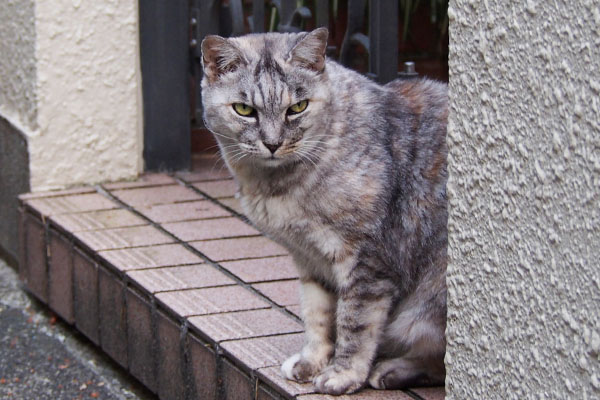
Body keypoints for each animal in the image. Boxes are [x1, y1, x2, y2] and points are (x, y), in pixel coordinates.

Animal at [200, 27, 446, 394]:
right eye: (244, 109)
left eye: (297, 107)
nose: (272, 143)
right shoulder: (310, 258)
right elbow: (317, 316)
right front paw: (312, 362)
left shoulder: (367, 261)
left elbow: (354, 323)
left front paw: (342, 374)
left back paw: (392, 369)